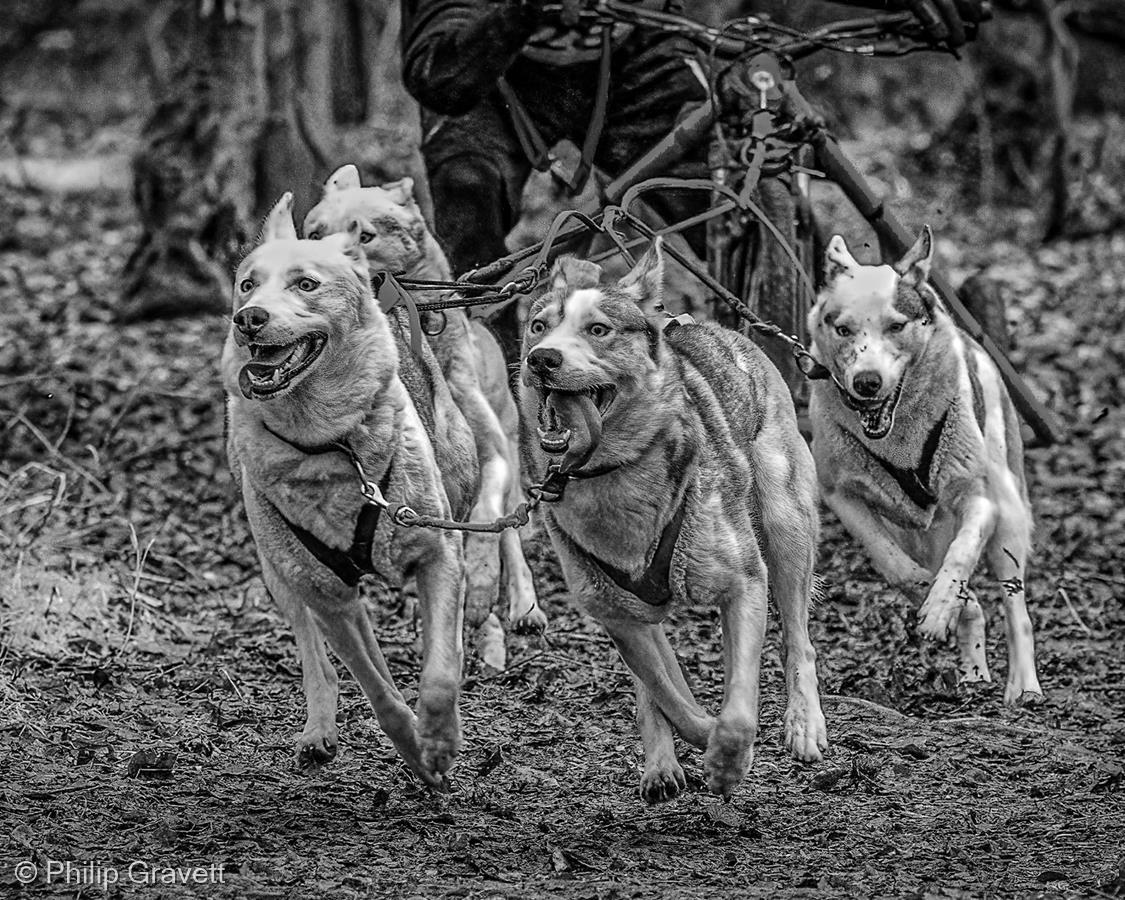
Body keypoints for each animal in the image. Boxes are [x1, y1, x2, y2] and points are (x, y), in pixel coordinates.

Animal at [222, 193, 479, 783]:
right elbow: (378, 692)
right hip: (281, 574)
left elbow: (440, 672)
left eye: (306, 284)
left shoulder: (439, 552)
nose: (248, 319)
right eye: (247, 284)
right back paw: (321, 727)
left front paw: (439, 740)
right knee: (323, 657)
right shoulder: (327, 594)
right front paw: (417, 750)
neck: (330, 444)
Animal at [517, 237, 828, 801]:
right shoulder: (617, 613)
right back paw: (662, 764)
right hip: (634, 607)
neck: (614, 473)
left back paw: (803, 724)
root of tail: (718, 330)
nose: (541, 358)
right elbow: (669, 694)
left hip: (785, 524)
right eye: (537, 325)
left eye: (599, 329)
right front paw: (702, 738)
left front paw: (729, 757)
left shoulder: (745, 582)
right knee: (657, 683)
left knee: (799, 640)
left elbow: (740, 707)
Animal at [805, 225, 1039, 702]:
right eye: (843, 329)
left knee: (1015, 605)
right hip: (916, 533)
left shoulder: (978, 499)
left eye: (897, 325)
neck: (901, 442)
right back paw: (972, 671)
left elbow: (961, 556)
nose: (867, 383)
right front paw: (941, 604)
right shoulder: (842, 496)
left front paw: (938, 609)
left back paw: (1023, 687)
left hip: (1007, 514)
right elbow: (896, 569)